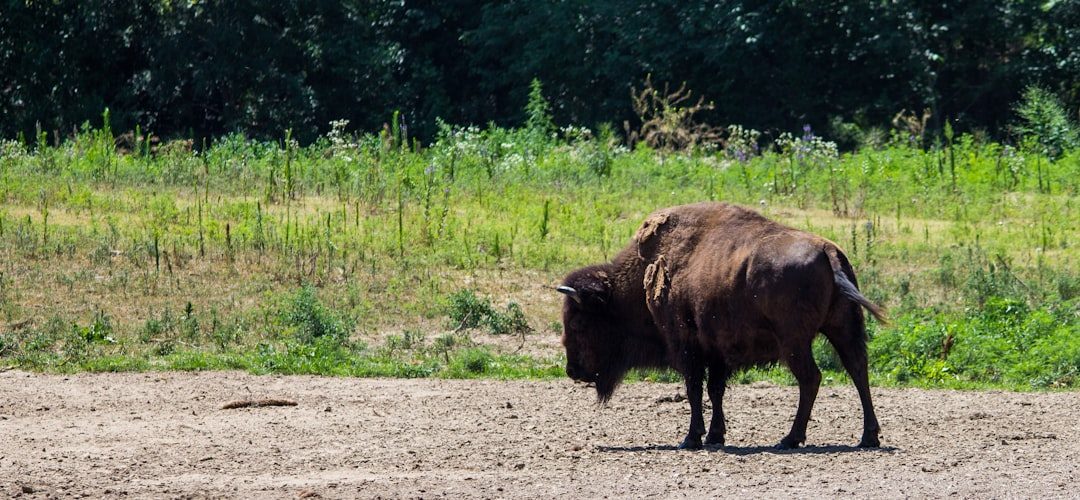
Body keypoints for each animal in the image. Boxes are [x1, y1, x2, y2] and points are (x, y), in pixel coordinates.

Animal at [557, 202, 885, 449]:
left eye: (577, 323)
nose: (572, 370)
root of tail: (828, 251)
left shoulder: (685, 346)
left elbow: (694, 389)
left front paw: (691, 438)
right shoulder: (716, 350)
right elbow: (716, 390)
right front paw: (716, 435)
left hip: (794, 342)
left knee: (811, 378)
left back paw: (790, 439)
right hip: (842, 329)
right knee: (858, 369)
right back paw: (868, 437)